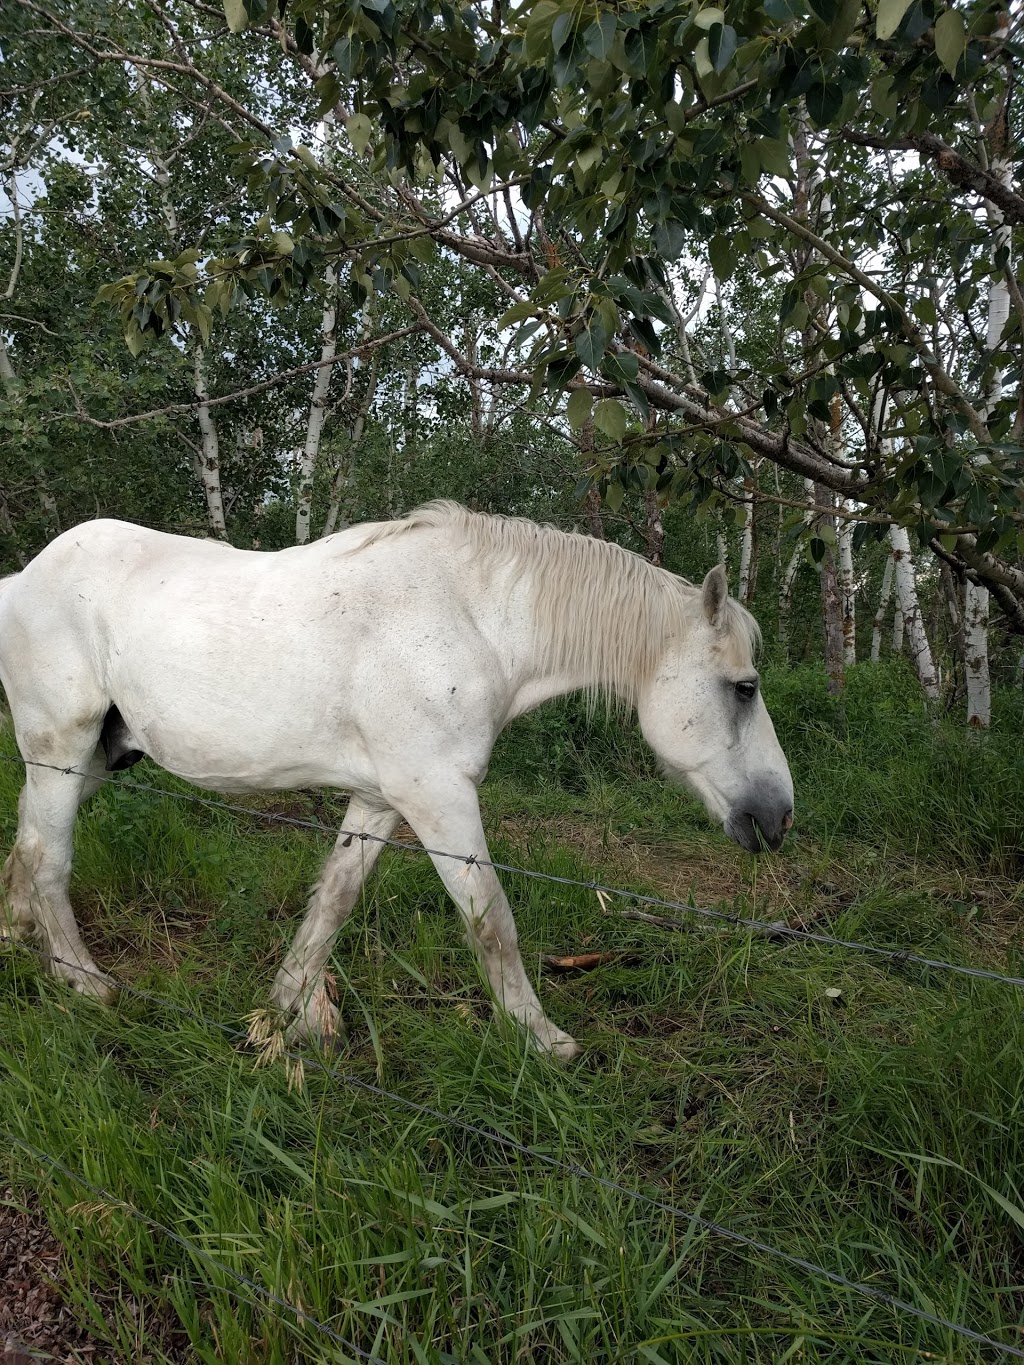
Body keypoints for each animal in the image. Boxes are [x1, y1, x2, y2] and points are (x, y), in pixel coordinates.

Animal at [0, 502, 791, 1053]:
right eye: (745, 687)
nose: (779, 815)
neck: (470, 621)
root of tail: (20, 579)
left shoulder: (381, 799)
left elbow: (334, 902)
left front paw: (286, 1013)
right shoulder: (437, 797)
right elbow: (491, 920)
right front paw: (543, 1041)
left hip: (92, 760)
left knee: (25, 842)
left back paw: (17, 940)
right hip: (62, 747)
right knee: (47, 857)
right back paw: (87, 984)